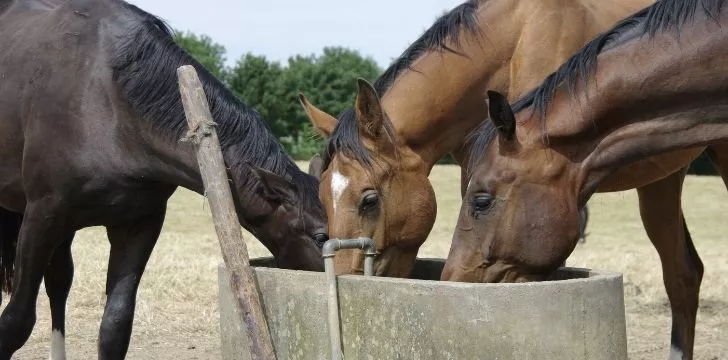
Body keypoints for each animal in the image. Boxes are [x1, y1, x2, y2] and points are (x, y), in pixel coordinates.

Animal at [0, 0, 328, 358]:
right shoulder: (42, 216)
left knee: (59, 281)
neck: (108, 101)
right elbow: (16, 321)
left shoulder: (139, 224)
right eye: (321, 237)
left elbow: (115, 325)